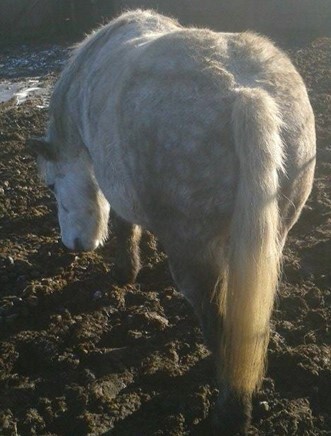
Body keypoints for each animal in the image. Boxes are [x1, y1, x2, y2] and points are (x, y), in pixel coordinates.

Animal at [30, 9, 316, 432]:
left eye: (51, 184)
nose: (73, 245)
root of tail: (246, 93)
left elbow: (124, 226)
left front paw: (126, 271)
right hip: (271, 237)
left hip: (192, 252)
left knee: (218, 325)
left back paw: (230, 414)